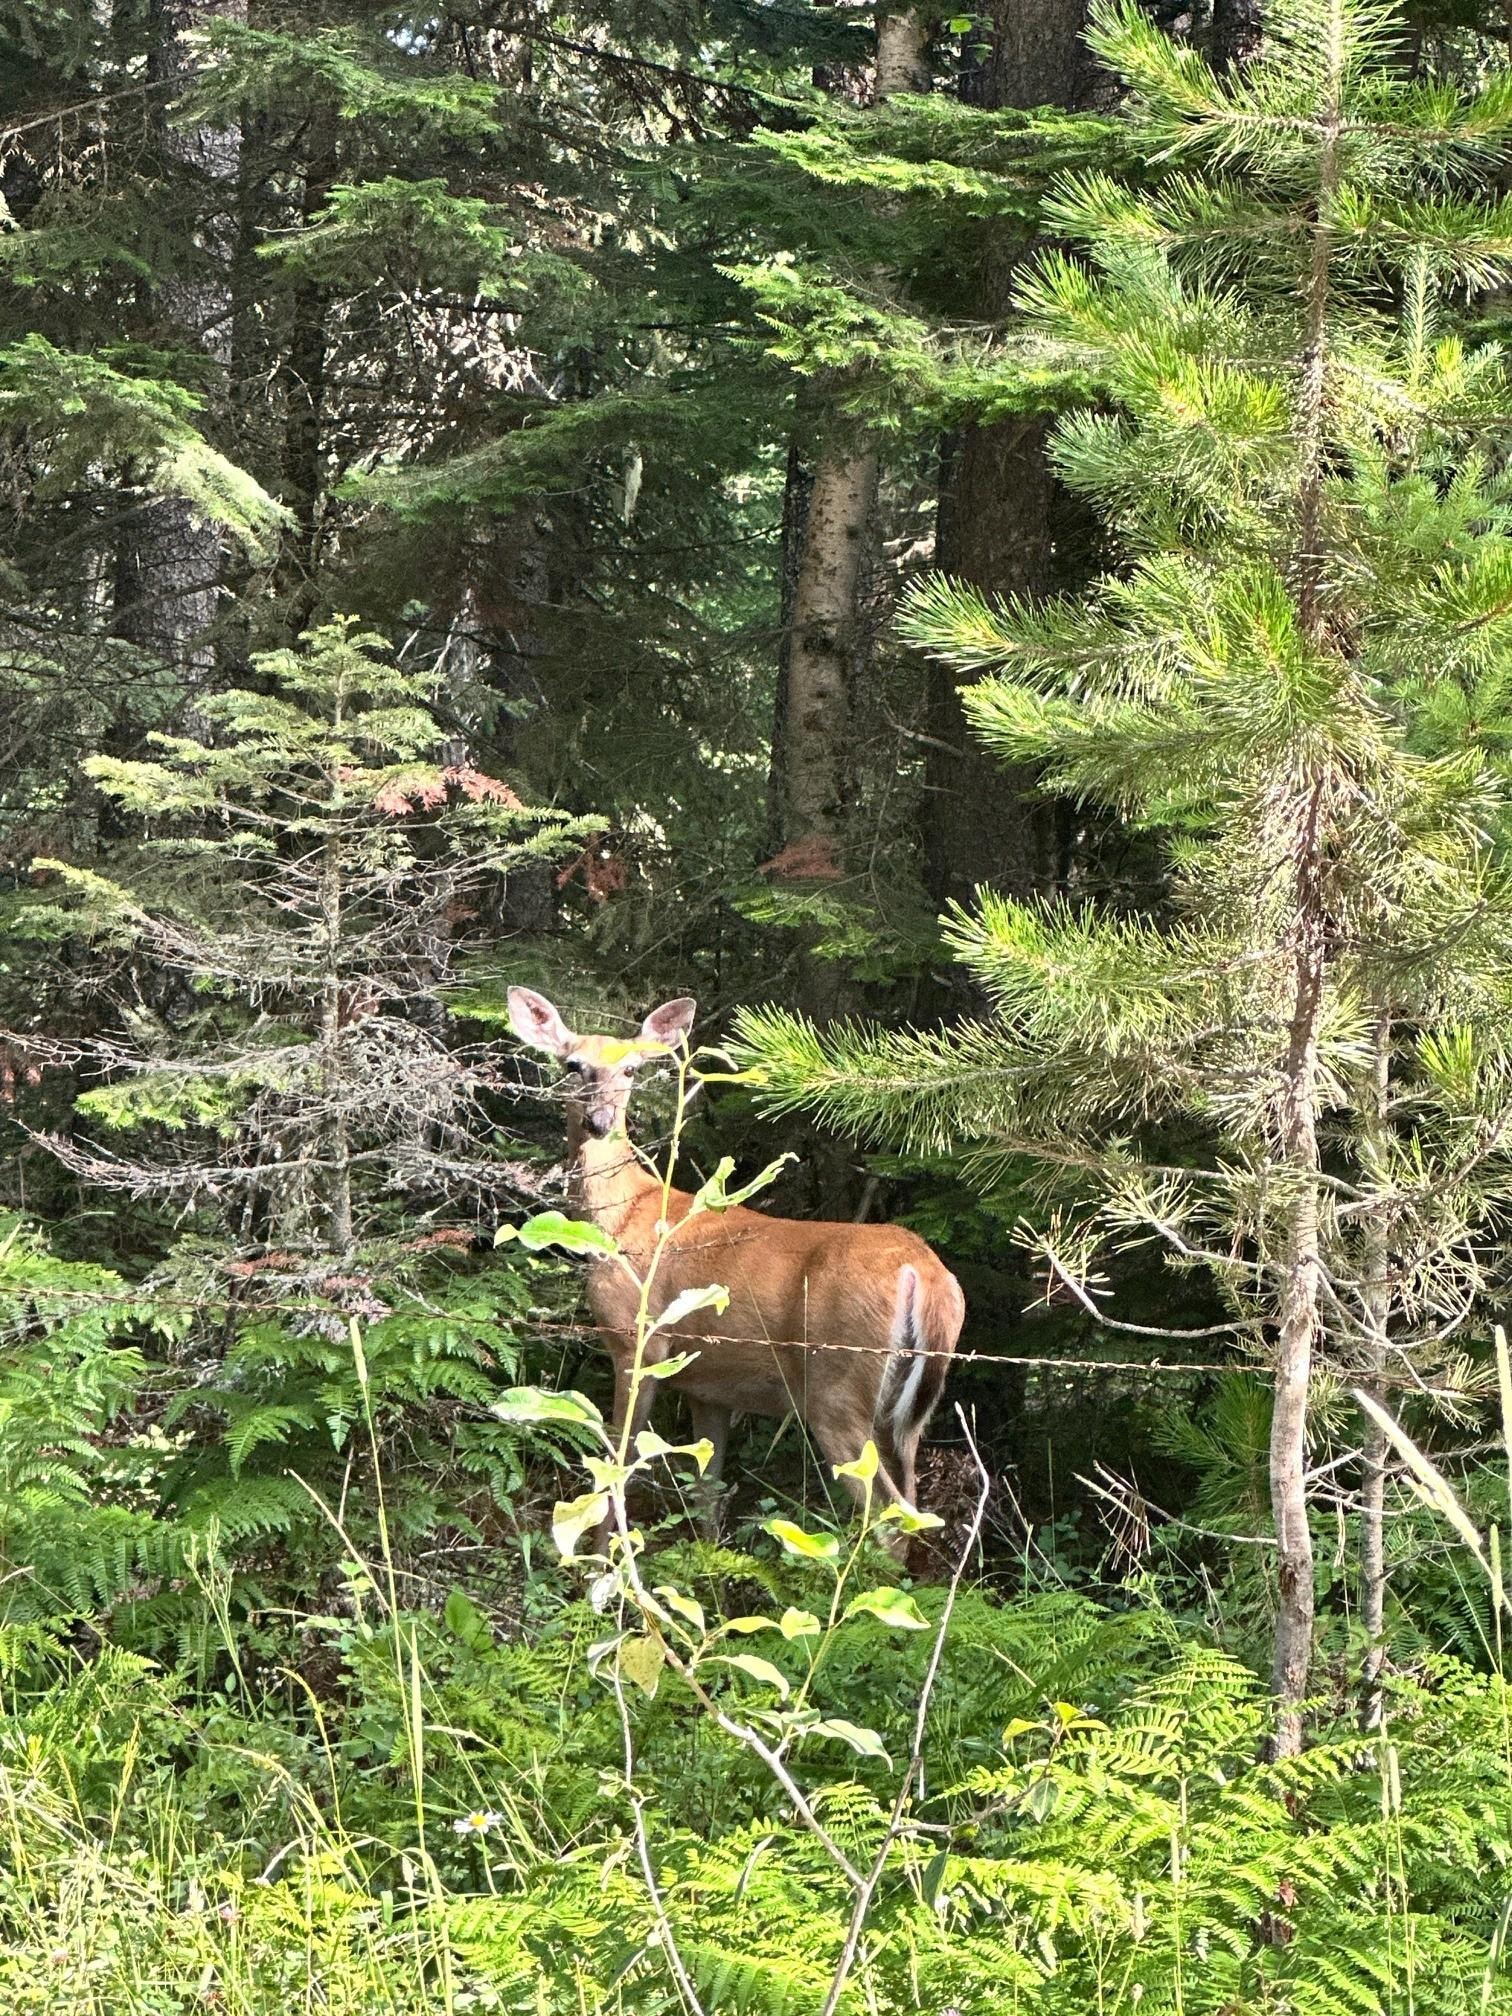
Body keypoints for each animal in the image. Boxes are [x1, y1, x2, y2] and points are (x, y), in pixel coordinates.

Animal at [507, 986, 965, 1534]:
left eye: (632, 1069)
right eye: (573, 1065)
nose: (599, 1122)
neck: (622, 1215)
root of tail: (924, 1273)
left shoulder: (637, 1342)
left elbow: (618, 1467)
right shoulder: (710, 1387)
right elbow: (708, 1493)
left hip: (836, 1388)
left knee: (889, 1518)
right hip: (909, 1414)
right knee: (915, 1507)